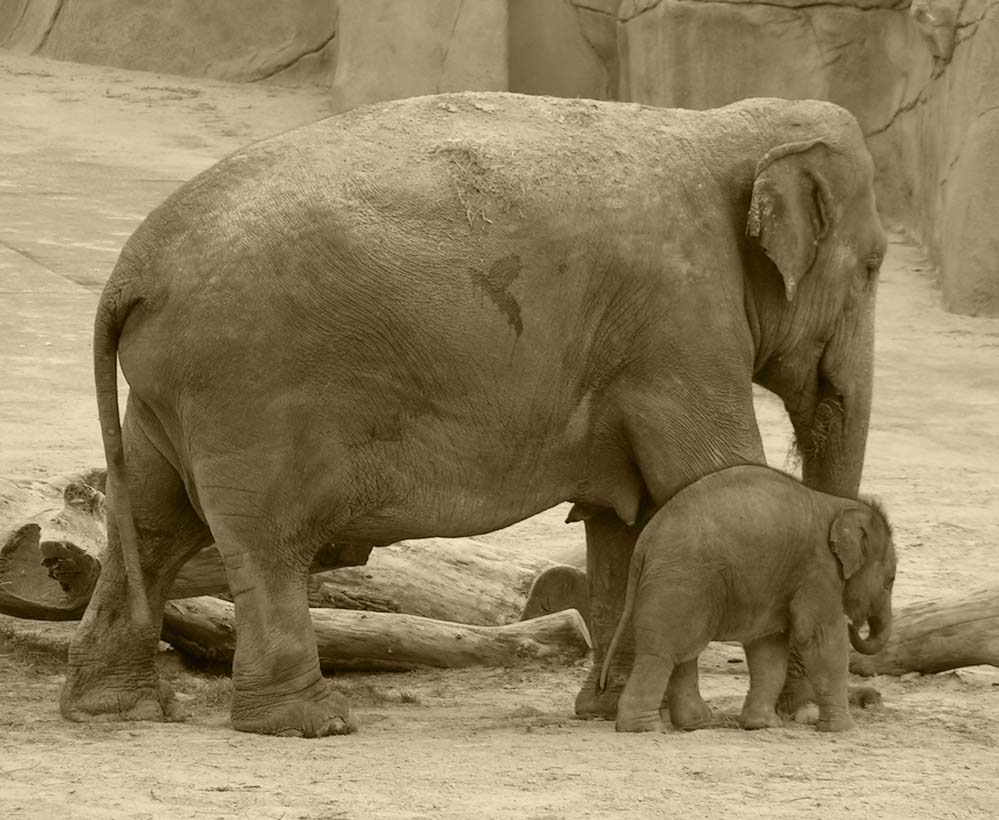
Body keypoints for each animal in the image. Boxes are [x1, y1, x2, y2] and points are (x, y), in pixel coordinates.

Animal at [600, 464, 900, 732]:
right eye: (890, 581)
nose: (855, 624)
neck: (841, 505)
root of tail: (644, 543)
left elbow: (769, 648)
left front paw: (762, 725)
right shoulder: (818, 571)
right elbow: (819, 638)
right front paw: (845, 729)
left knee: (683, 652)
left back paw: (697, 723)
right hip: (681, 583)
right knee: (662, 653)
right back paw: (645, 728)